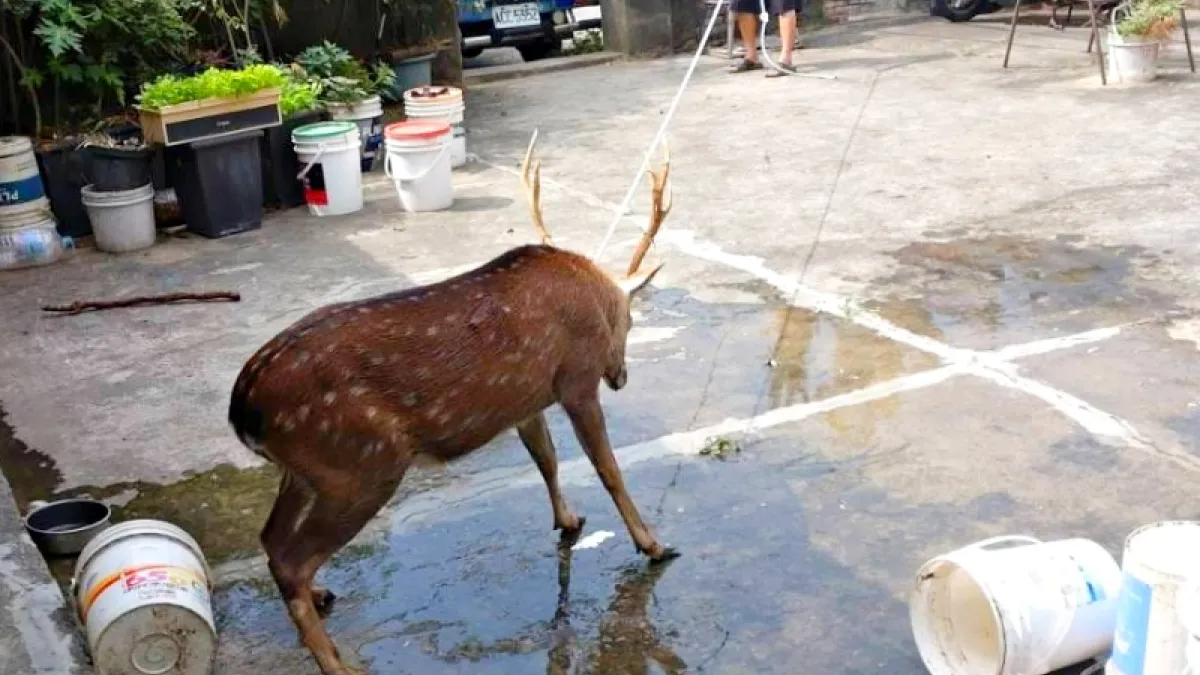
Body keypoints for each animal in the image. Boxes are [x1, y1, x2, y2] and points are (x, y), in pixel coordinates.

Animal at [227, 131, 676, 675]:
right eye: (629, 321)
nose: (622, 378)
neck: (591, 292)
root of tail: (241, 406)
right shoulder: (576, 380)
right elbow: (607, 468)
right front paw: (653, 544)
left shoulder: (526, 399)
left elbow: (545, 458)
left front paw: (569, 520)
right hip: (359, 466)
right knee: (292, 559)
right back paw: (338, 663)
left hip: (305, 471)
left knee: (271, 542)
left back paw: (321, 596)